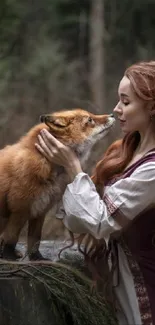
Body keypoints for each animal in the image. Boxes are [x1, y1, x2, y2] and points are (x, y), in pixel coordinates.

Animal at [0, 107, 115, 260]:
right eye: (89, 119)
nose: (112, 114)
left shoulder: (41, 209)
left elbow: (35, 238)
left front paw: (37, 258)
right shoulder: (20, 209)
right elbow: (11, 238)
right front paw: (9, 257)